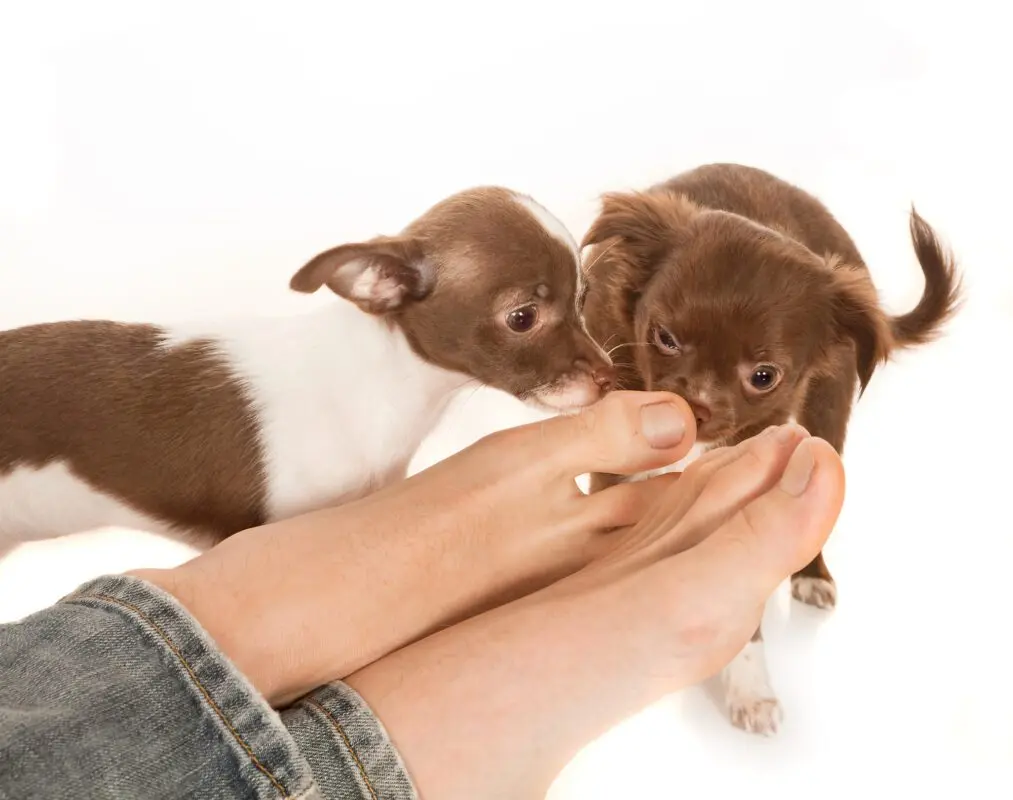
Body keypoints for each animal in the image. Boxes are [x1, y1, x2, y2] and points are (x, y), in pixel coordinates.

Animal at [583, 161, 960, 741]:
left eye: (763, 377)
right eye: (664, 338)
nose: (696, 405)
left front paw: (750, 688)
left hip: (826, 419)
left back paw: (812, 576)